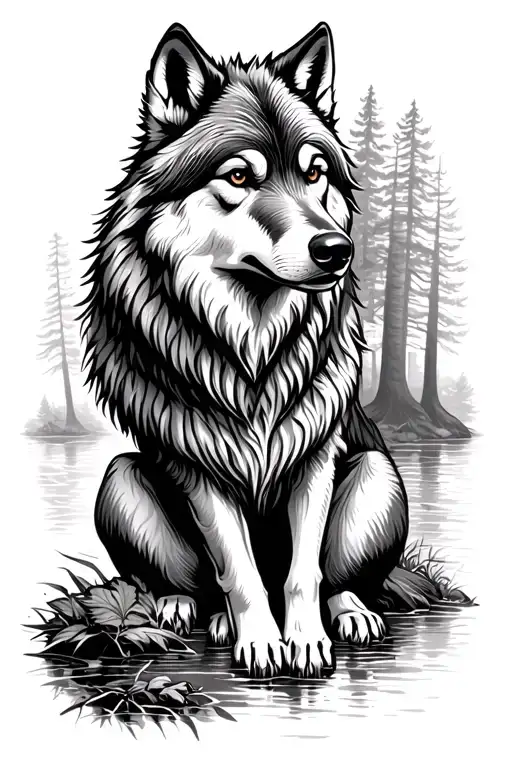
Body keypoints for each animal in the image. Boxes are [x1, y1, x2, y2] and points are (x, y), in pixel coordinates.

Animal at [81, 21, 438, 678]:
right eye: (240, 177)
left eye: (315, 172)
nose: (336, 249)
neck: (252, 345)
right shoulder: (200, 466)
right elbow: (241, 572)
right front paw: (260, 642)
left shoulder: (315, 455)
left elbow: (302, 572)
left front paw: (304, 640)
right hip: (120, 479)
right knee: (195, 582)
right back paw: (184, 609)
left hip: (377, 474)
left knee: (340, 579)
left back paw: (352, 612)